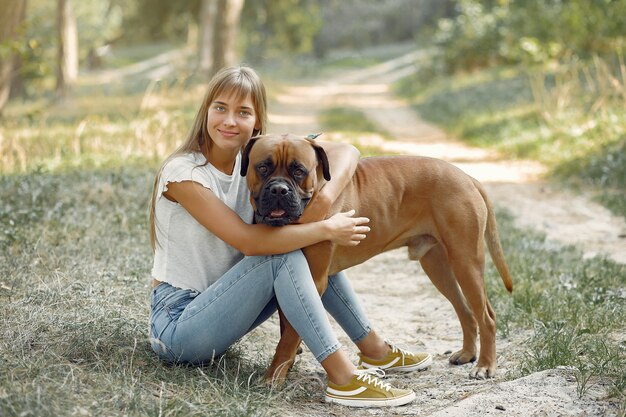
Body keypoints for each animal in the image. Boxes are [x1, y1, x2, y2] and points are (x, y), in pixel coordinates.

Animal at [240, 134, 512, 384]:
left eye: (299, 171)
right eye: (262, 167)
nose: (279, 189)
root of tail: (467, 178)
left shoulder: (312, 279)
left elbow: (290, 333)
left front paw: (274, 376)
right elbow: (286, 326)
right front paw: (288, 364)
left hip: (465, 261)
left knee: (486, 317)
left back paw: (485, 365)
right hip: (438, 266)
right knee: (466, 311)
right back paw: (467, 354)